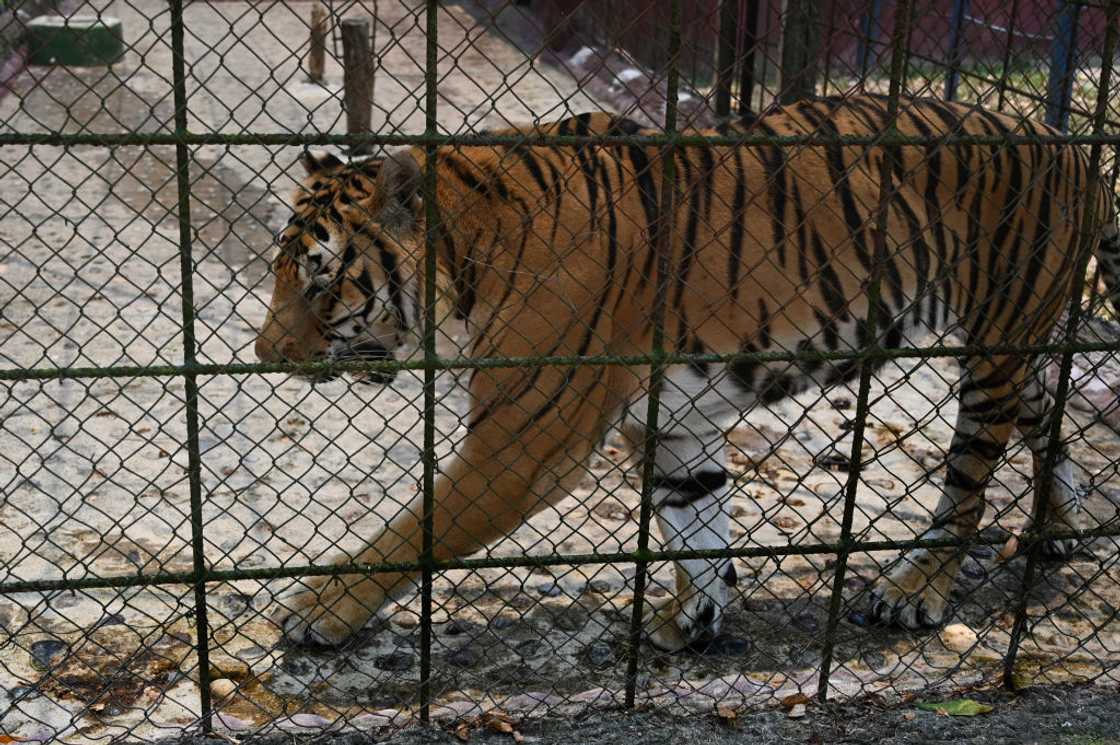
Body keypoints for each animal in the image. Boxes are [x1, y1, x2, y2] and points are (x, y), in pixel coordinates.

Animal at [255, 95, 1120, 652]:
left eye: (321, 280)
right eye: (279, 269)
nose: (264, 356)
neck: (467, 256)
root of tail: (1064, 135)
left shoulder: (521, 443)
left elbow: (412, 531)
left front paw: (315, 609)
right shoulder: (673, 422)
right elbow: (697, 523)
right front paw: (695, 618)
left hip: (996, 343)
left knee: (970, 481)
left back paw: (915, 590)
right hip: (1017, 344)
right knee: (1051, 414)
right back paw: (1060, 528)